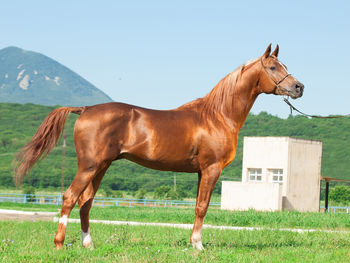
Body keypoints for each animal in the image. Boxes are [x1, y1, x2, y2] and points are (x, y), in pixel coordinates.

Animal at [13, 44, 304, 251]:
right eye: (273, 67)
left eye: (284, 65)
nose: (299, 87)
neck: (217, 115)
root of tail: (85, 109)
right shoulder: (211, 169)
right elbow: (202, 207)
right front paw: (198, 246)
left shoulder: (201, 172)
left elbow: (197, 205)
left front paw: (193, 243)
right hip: (89, 166)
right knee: (69, 198)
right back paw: (60, 244)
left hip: (101, 167)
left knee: (85, 203)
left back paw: (89, 245)